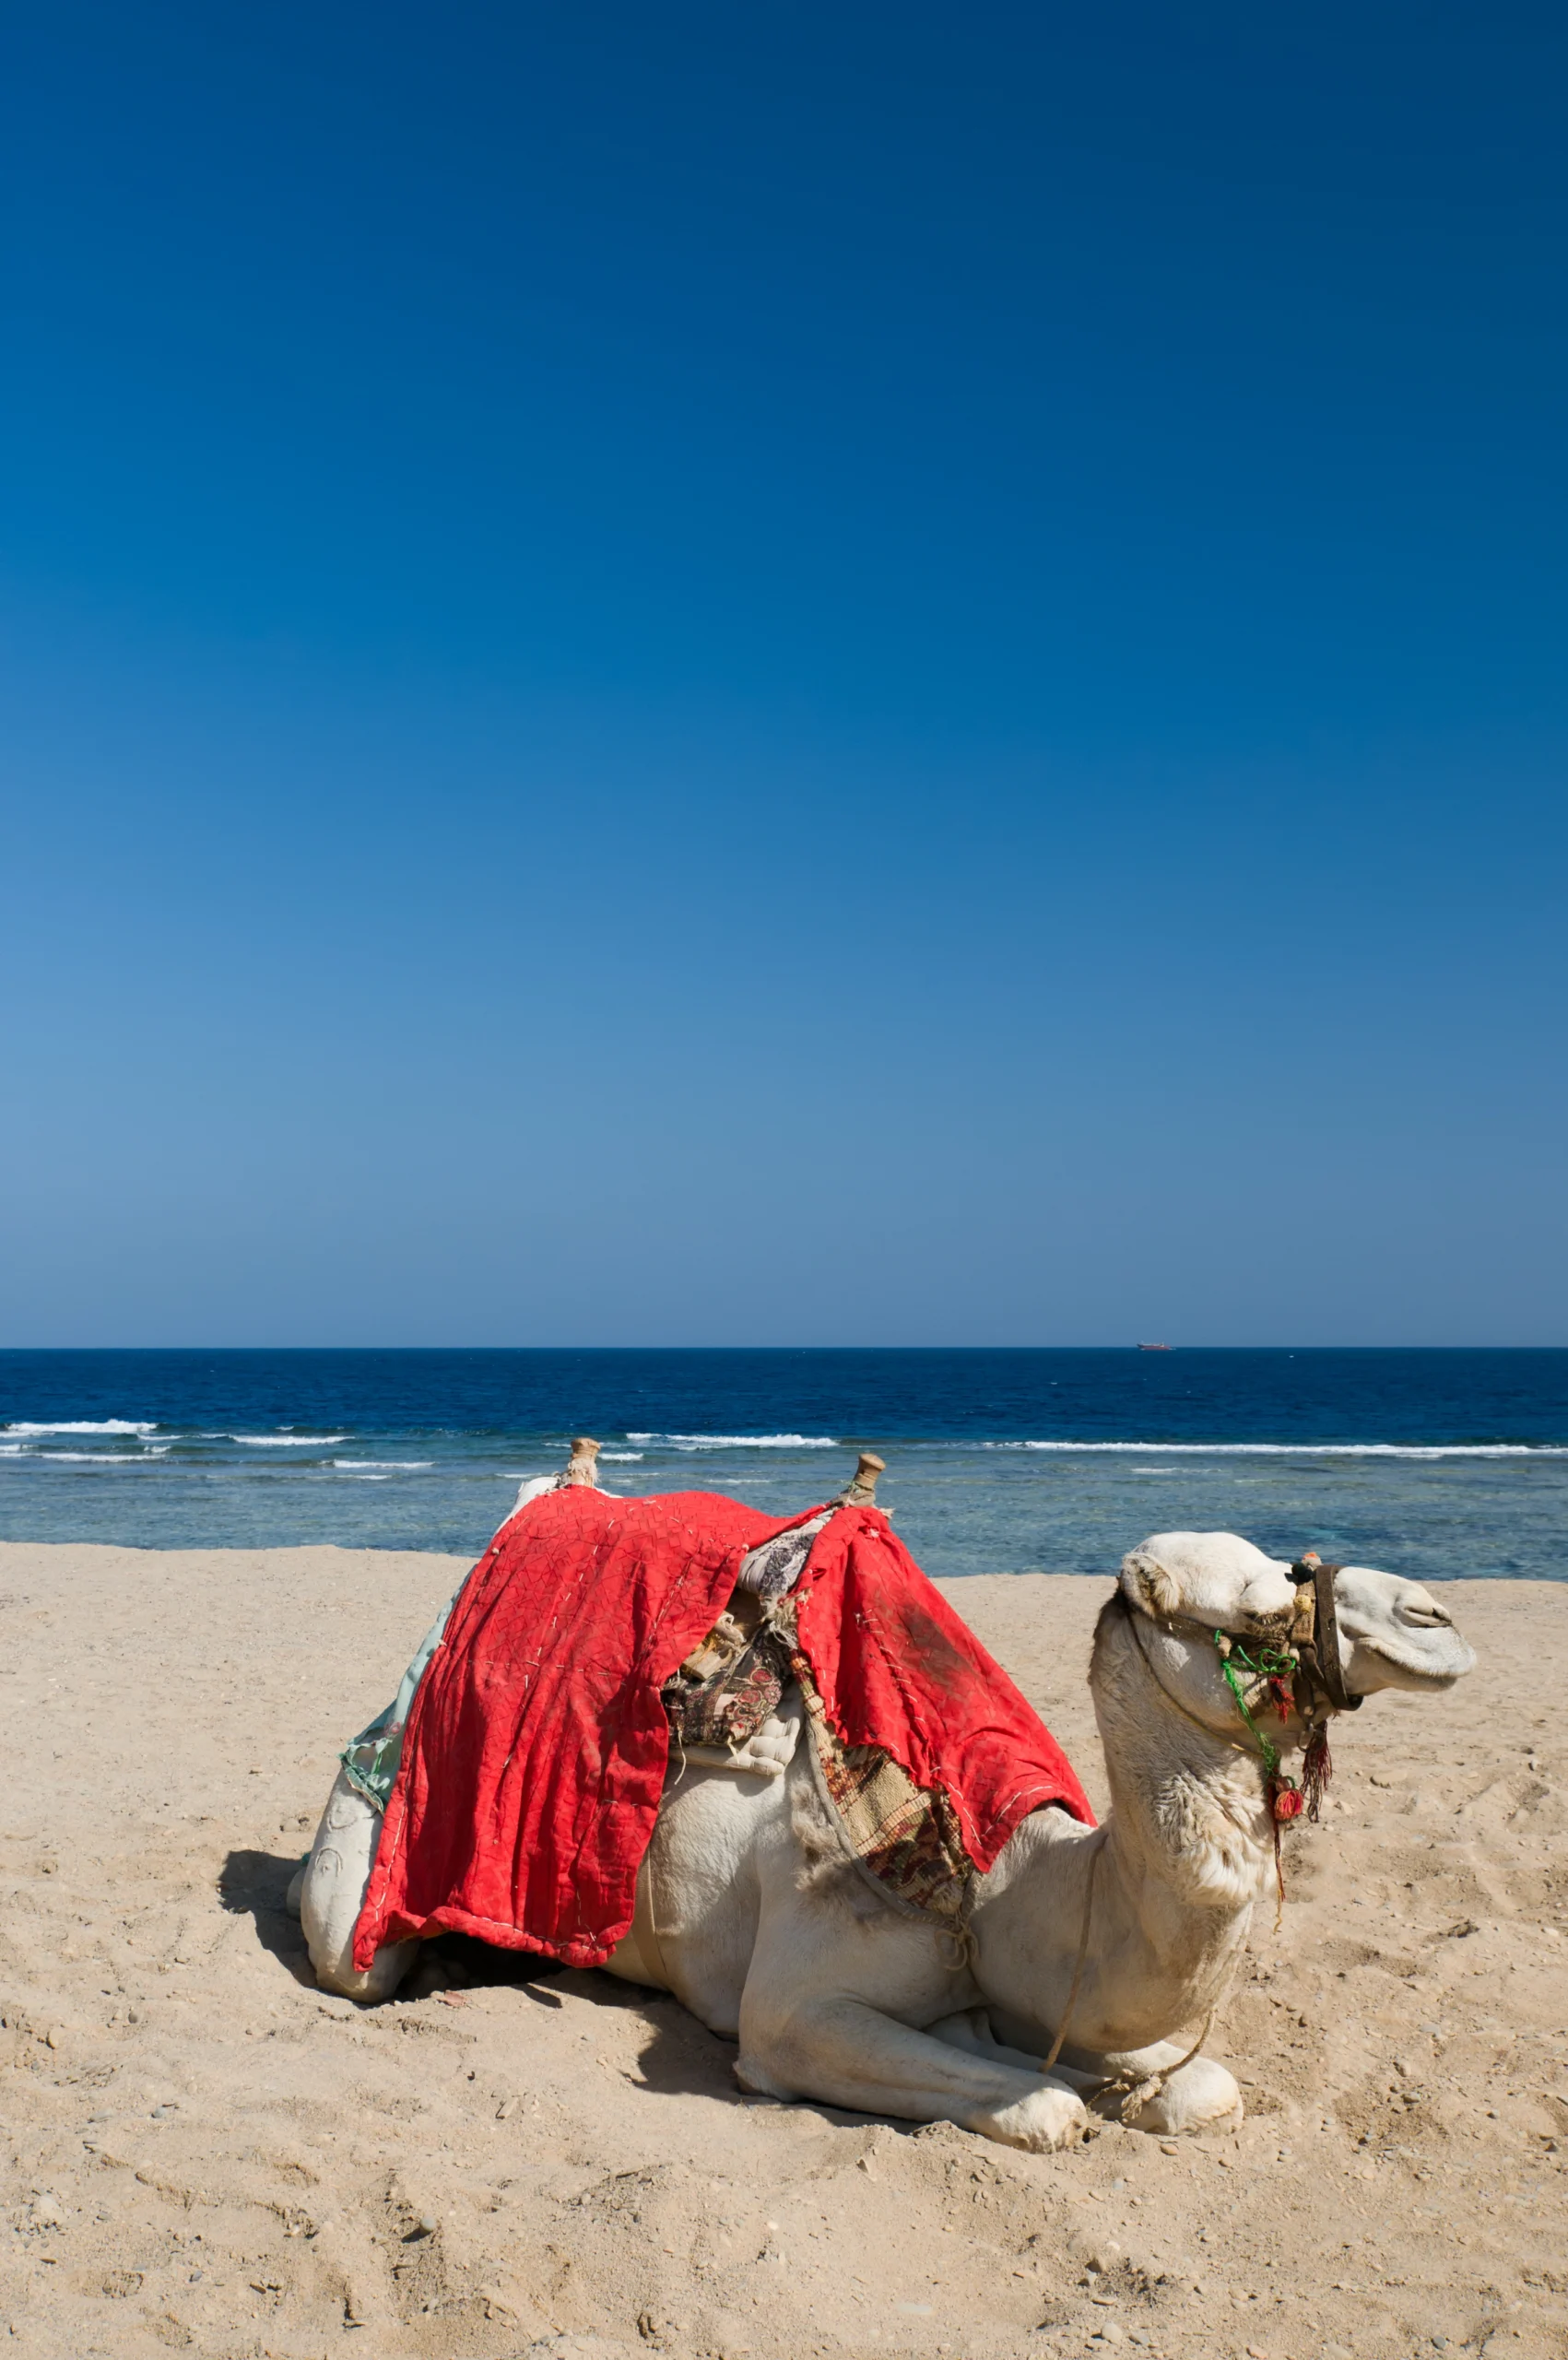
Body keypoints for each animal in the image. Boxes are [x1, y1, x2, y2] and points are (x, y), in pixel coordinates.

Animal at [295, 1466, 1475, 2151]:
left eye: (1284, 1563)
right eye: (1260, 1611)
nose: (1437, 1617)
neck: (1000, 1885)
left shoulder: (1029, 1986)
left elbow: (1197, 2085)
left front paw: (1129, 2086)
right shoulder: (792, 2011)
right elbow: (1040, 2102)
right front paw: (1057, 2099)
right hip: (371, 1851)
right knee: (353, 1949)